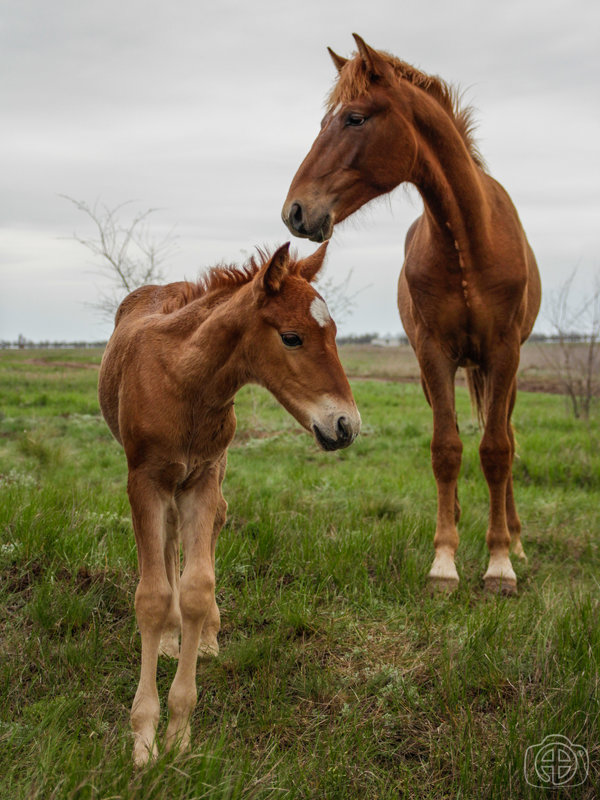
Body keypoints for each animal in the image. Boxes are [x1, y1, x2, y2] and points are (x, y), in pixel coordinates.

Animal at [99, 242, 360, 764]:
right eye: (292, 337)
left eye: (335, 333)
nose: (346, 425)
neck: (185, 380)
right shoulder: (144, 481)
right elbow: (152, 595)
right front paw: (143, 739)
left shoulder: (200, 478)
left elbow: (197, 587)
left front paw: (179, 732)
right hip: (166, 483)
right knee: (169, 542)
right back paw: (170, 637)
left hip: (211, 468)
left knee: (210, 524)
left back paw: (201, 638)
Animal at [284, 32, 540, 592]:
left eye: (355, 118)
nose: (294, 211)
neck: (469, 241)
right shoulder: (433, 355)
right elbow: (446, 450)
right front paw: (444, 561)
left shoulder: (503, 355)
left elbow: (496, 451)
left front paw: (500, 563)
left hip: (503, 373)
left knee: (507, 439)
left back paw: (515, 538)